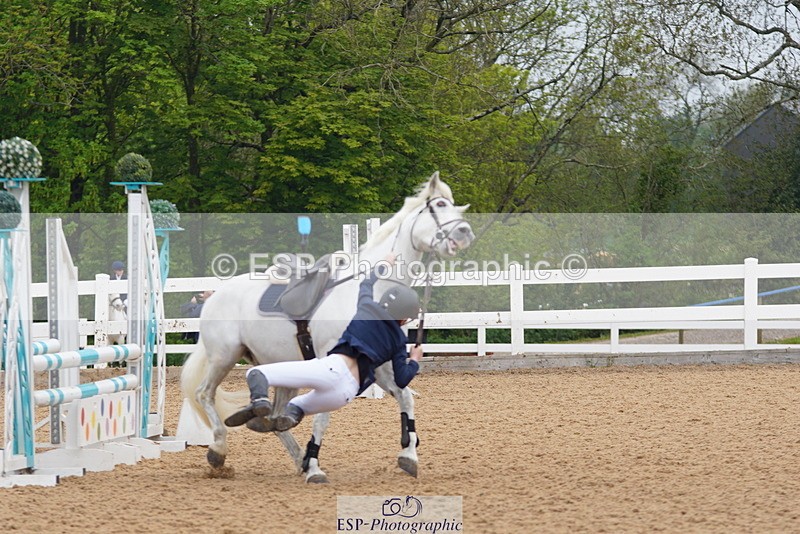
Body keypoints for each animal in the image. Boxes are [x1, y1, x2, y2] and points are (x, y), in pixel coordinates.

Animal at [181, 172, 475, 483]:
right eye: (440, 205)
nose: (465, 232)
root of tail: (215, 296)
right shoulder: (334, 363)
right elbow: (323, 417)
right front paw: (315, 468)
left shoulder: (379, 363)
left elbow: (406, 398)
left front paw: (409, 456)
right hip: (223, 357)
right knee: (205, 394)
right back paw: (219, 450)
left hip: (280, 368)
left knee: (274, 417)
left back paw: (294, 453)